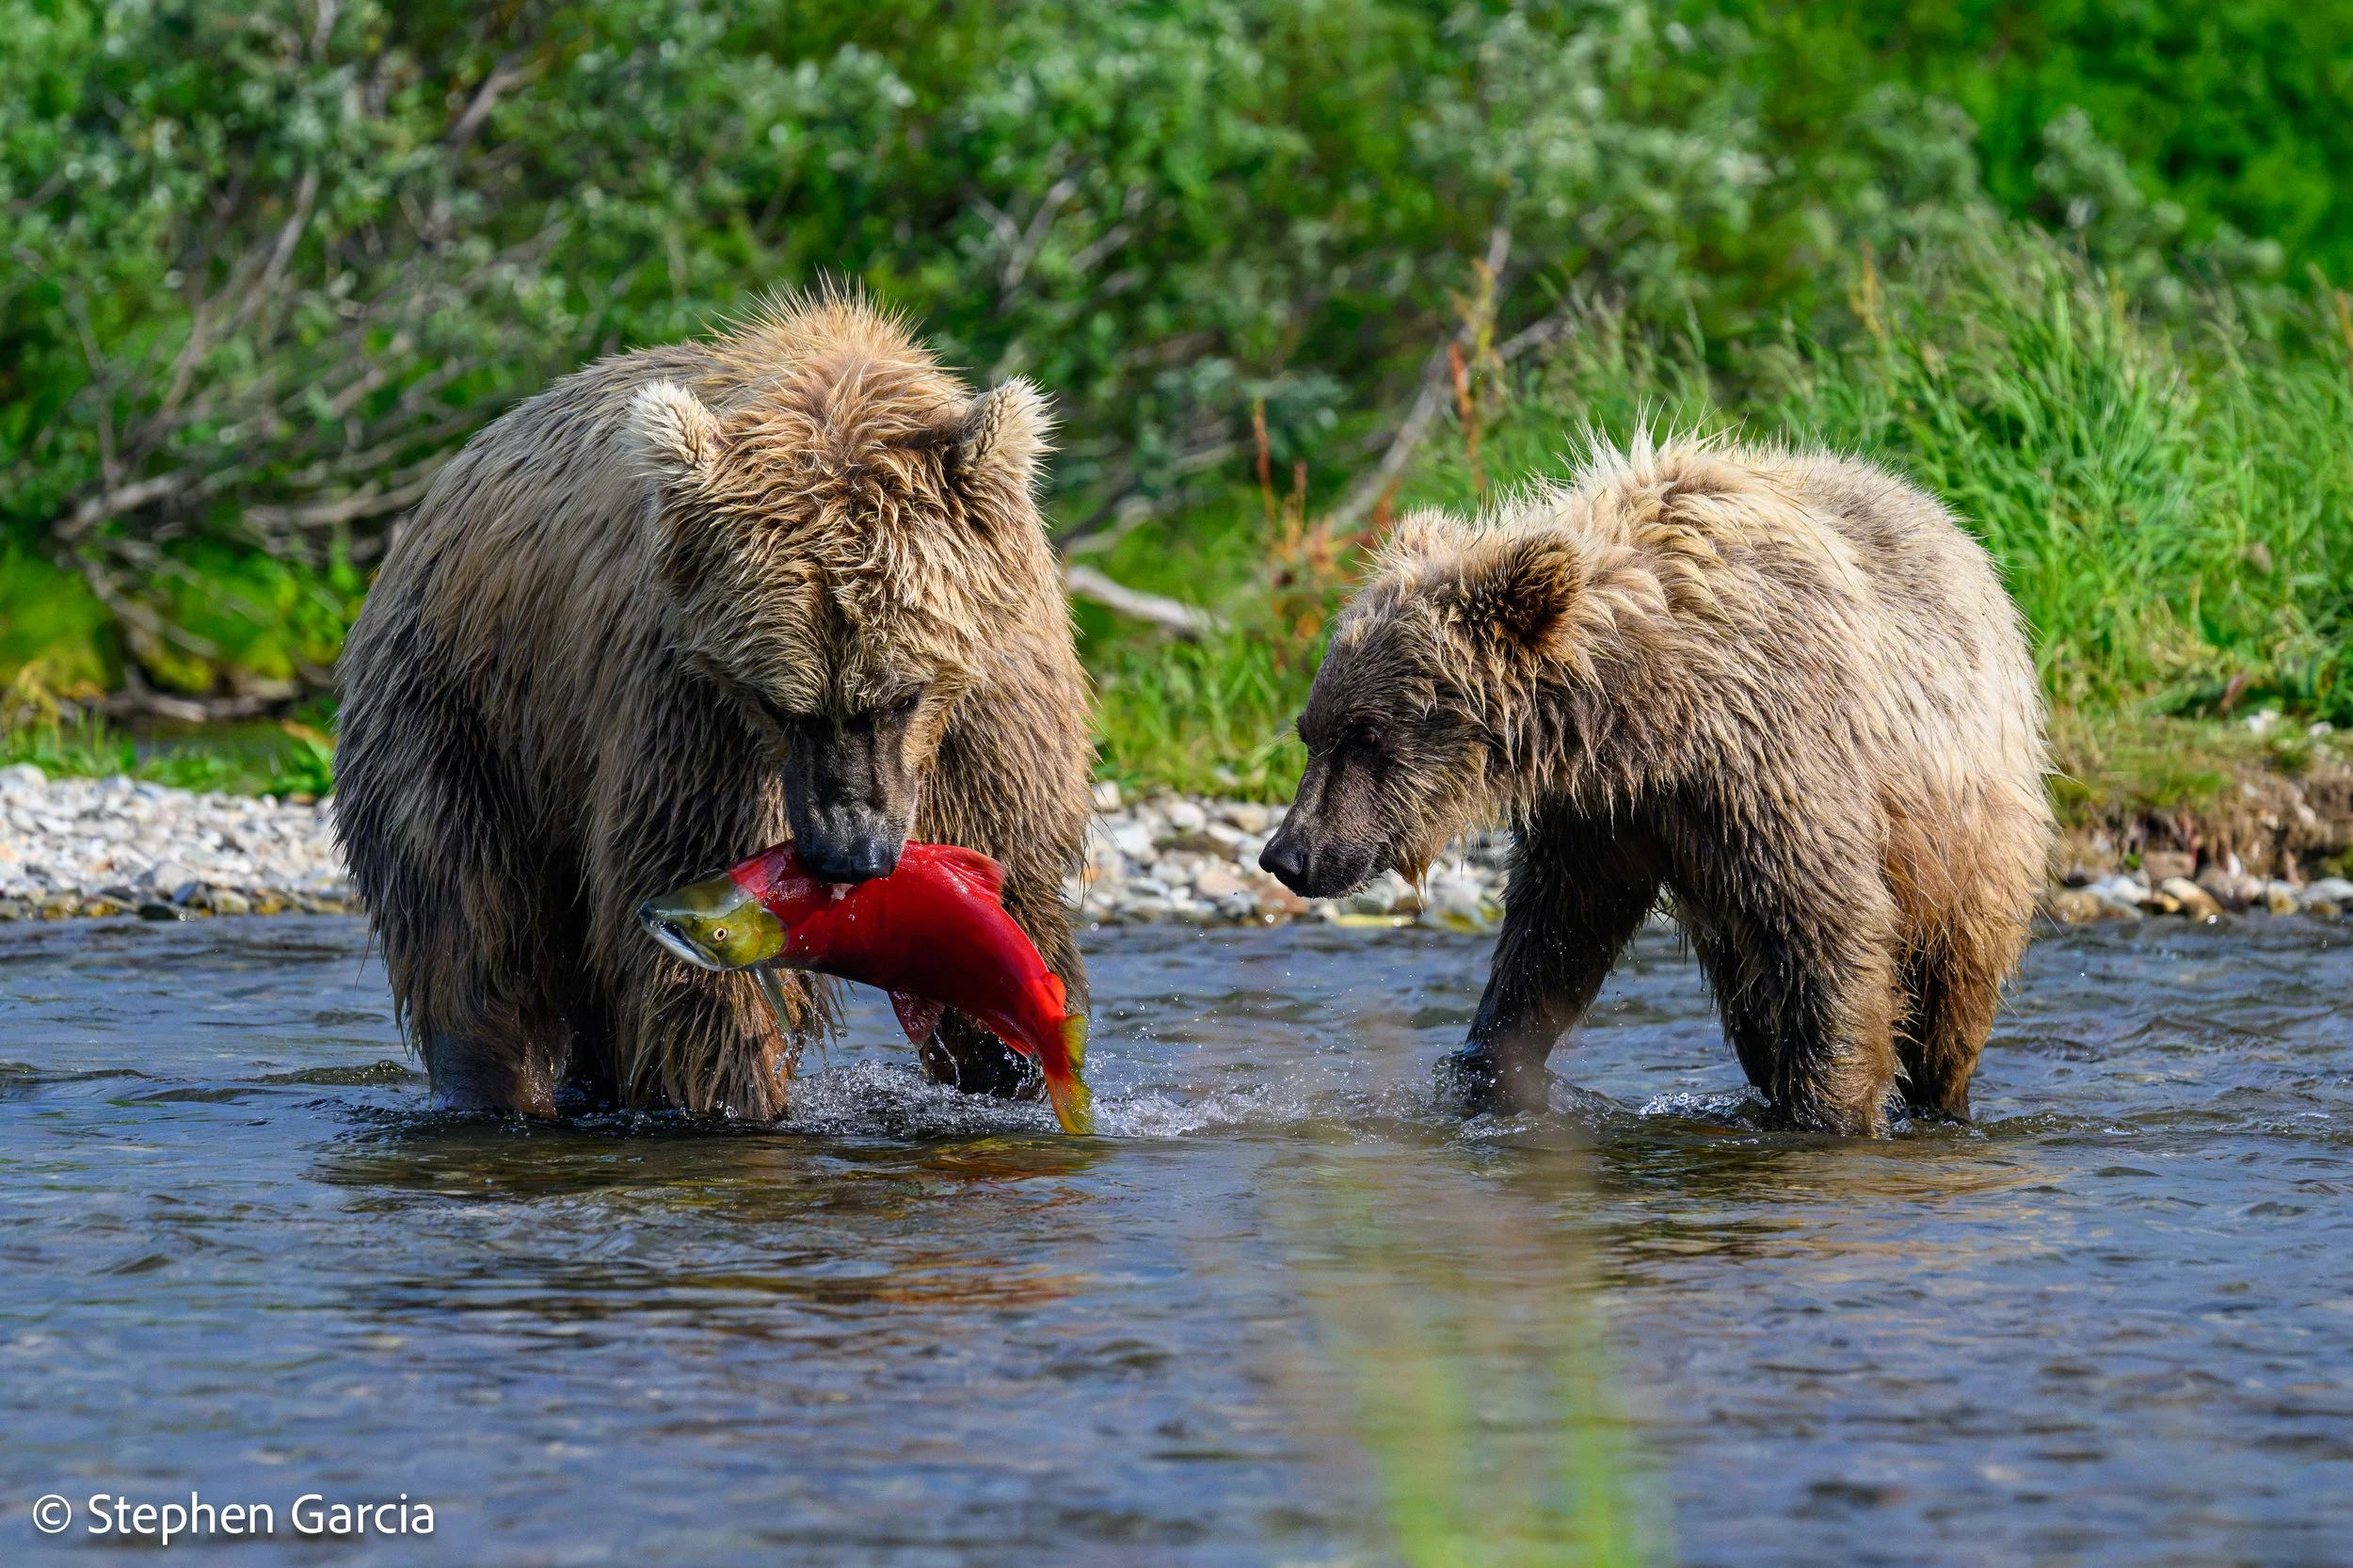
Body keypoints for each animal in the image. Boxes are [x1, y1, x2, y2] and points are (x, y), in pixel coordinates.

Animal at [334, 297, 1095, 1118]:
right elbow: (683, 905)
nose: (849, 856)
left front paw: (1007, 1058)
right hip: (461, 714)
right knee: (475, 932)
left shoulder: (994, 713)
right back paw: (497, 1085)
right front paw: (734, 1098)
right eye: (779, 702)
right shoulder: (685, 698)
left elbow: (1007, 886)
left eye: (905, 694)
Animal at [1259, 434, 2052, 1136]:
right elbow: (1555, 937)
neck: (1644, 715)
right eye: (1311, 731)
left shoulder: (1771, 754)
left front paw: (1831, 1108)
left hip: (1968, 828)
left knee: (1954, 984)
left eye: (1367, 735)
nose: (1286, 855)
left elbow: (1830, 928)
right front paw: (1494, 1067)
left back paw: (1941, 1096)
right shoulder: (1602, 814)